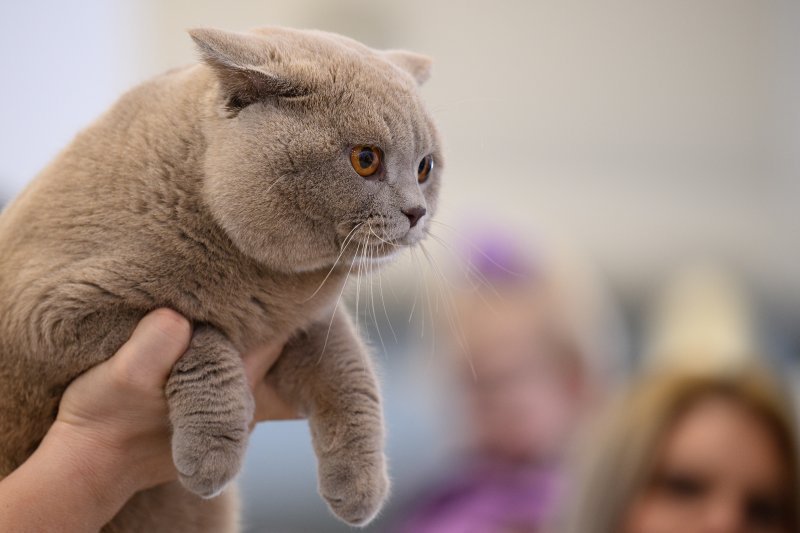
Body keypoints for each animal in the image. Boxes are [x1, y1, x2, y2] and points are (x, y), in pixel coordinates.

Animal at [0, 27, 440, 528]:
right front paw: (212, 453)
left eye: (425, 167)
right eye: (365, 159)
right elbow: (199, 330)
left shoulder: (305, 320)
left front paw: (361, 487)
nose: (417, 211)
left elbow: (352, 373)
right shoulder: (48, 316)